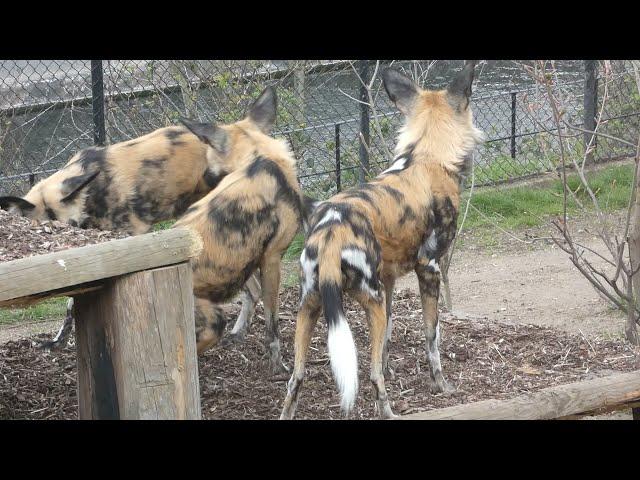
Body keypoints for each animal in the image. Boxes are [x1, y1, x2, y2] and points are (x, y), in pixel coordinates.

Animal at [174, 86, 306, 374]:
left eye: (208, 160)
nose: (203, 179)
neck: (260, 158)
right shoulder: (271, 259)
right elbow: (272, 327)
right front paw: (277, 367)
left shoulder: (245, 259)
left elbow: (250, 295)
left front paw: (240, 333)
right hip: (213, 319)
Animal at [278, 62, 482, 418]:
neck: (425, 155)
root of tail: (332, 230)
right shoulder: (429, 268)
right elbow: (432, 336)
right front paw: (440, 385)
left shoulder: (388, 280)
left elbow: (386, 339)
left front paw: (391, 367)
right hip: (367, 298)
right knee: (370, 375)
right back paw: (388, 411)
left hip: (311, 305)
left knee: (296, 378)